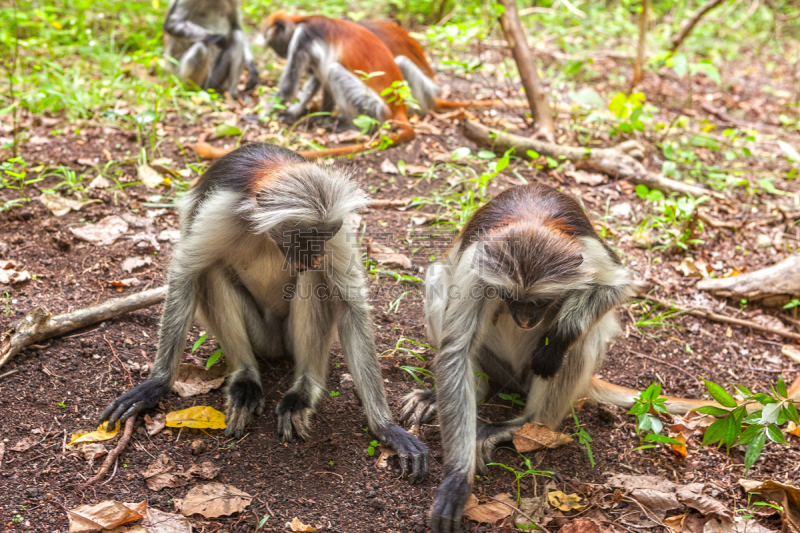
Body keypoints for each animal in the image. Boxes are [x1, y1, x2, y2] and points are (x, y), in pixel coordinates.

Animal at [101, 142, 432, 482]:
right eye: (303, 236)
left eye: (324, 235)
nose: (313, 256)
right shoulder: (221, 210)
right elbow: (185, 275)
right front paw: (157, 384)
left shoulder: (337, 228)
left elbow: (349, 302)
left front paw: (385, 427)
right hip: (260, 335)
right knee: (211, 271)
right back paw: (246, 379)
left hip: (285, 336)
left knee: (314, 280)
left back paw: (302, 393)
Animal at [404, 185, 636, 528]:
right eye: (511, 297)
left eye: (540, 302)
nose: (525, 320)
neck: (532, 219)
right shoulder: (478, 264)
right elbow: (456, 351)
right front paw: (457, 477)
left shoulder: (588, 251)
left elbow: (617, 287)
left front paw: (559, 337)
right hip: (496, 365)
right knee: (437, 278)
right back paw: (468, 393)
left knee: (581, 340)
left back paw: (527, 424)